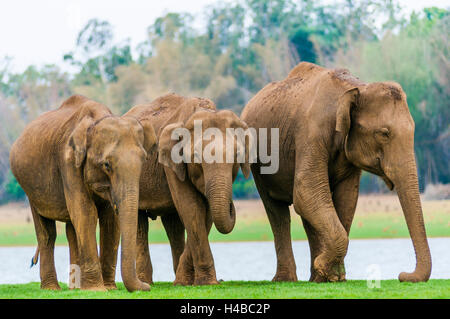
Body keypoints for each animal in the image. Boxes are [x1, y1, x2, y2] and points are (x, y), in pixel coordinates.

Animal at [9, 95, 157, 292]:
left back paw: (75, 289)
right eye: (106, 165)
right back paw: (52, 289)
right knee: (47, 233)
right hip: (29, 188)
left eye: (144, 161)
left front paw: (109, 288)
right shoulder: (68, 162)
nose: (146, 286)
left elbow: (110, 220)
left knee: (71, 230)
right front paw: (97, 290)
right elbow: (86, 212)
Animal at [122, 94, 250, 286]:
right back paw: (147, 283)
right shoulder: (171, 163)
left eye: (237, 156)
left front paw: (187, 282)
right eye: (195, 157)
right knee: (140, 222)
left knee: (173, 225)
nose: (232, 205)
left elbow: (205, 212)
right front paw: (205, 283)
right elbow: (192, 207)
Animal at [243, 63, 432, 284]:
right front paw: (326, 269)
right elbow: (306, 191)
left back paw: (315, 279)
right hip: (257, 162)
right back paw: (286, 279)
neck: (356, 88)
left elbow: (346, 199)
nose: (402, 275)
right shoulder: (310, 134)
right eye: (384, 133)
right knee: (277, 211)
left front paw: (334, 276)